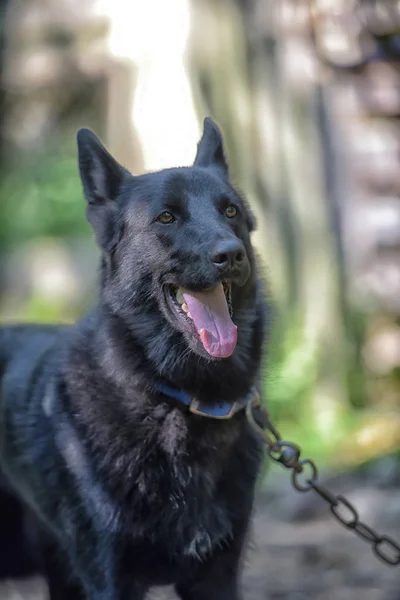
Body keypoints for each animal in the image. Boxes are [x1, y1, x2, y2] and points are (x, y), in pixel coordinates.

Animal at [0, 118, 268, 600]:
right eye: (166, 217)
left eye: (230, 211)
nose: (231, 254)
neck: (176, 398)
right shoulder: (112, 580)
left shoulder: (216, 578)